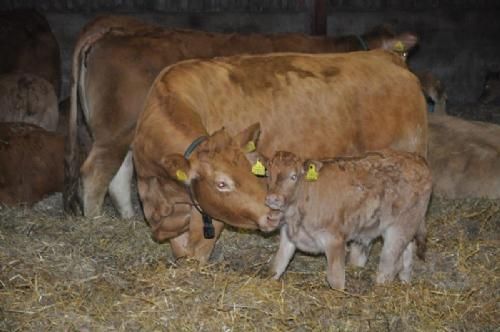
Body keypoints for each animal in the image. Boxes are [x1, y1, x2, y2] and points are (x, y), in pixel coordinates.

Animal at [65, 14, 418, 218]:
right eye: (401, 55)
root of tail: (114, 33)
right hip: (114, 133)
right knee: (95, 174)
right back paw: (94, 222)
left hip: (124, 133)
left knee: (118, 174)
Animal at [260, 149, 432, 290]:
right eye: (268, 174)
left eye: (293, 176)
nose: (273, 198)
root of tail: (417, 158)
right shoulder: (288, 236)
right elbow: (277, 265)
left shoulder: (335, 239)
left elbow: (335, 279)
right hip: (405, 225)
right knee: (407, 254)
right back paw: (405, 282)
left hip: (401, 226)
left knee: (389, 265)